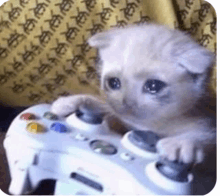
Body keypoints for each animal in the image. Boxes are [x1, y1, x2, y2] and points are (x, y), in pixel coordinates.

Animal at [51, 23, 215, 166]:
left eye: (153, 86)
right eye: (113, 83)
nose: (126, 103)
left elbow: (206, 134)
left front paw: (181, 143)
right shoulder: (121, 117)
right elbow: (103, 105)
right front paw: (71, 102)